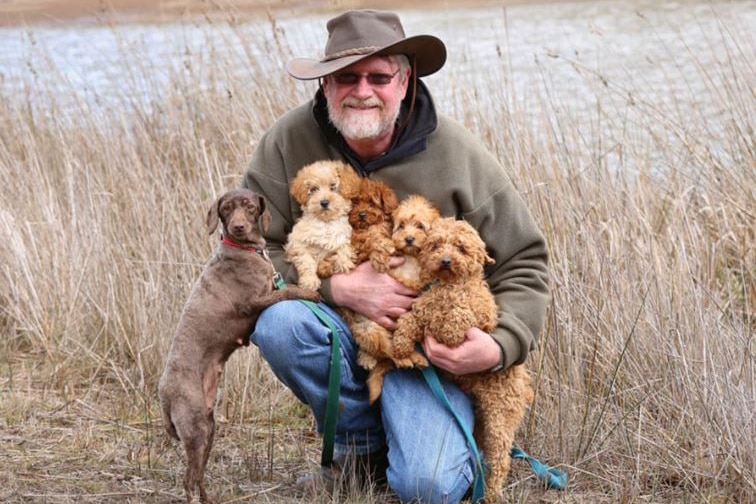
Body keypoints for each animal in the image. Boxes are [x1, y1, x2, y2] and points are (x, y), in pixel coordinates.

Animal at [159, 189, 318, 504]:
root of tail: (164, 394)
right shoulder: (252, 303)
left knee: (198, 475)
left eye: (249, 206)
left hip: (208, 428)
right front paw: (310, 292)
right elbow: (288, 292)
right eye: (226, 209)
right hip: (194, 429)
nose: (239, 227)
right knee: (188, 479)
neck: (245, 251)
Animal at [286, 159, 364, 290]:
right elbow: (306, 260)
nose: (324, 202)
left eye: (333, 187)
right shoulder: (297, 243)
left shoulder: (347, 236)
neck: (326, 223)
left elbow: (345, 247)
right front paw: (310, 281)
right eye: (314, 189)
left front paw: (344, 262)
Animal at [392, 218, 536, 504]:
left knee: (500, 461)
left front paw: (447, 324)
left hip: (499, 421)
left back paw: (490, 494)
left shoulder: (471, 317)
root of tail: (523, 387)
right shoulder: (422, 307)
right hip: (481, 421)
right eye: (436, 245)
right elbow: (410, 319)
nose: (446, 260)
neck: (450, 284)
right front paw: (401, 345)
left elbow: (454, 319)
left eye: (461, 247)